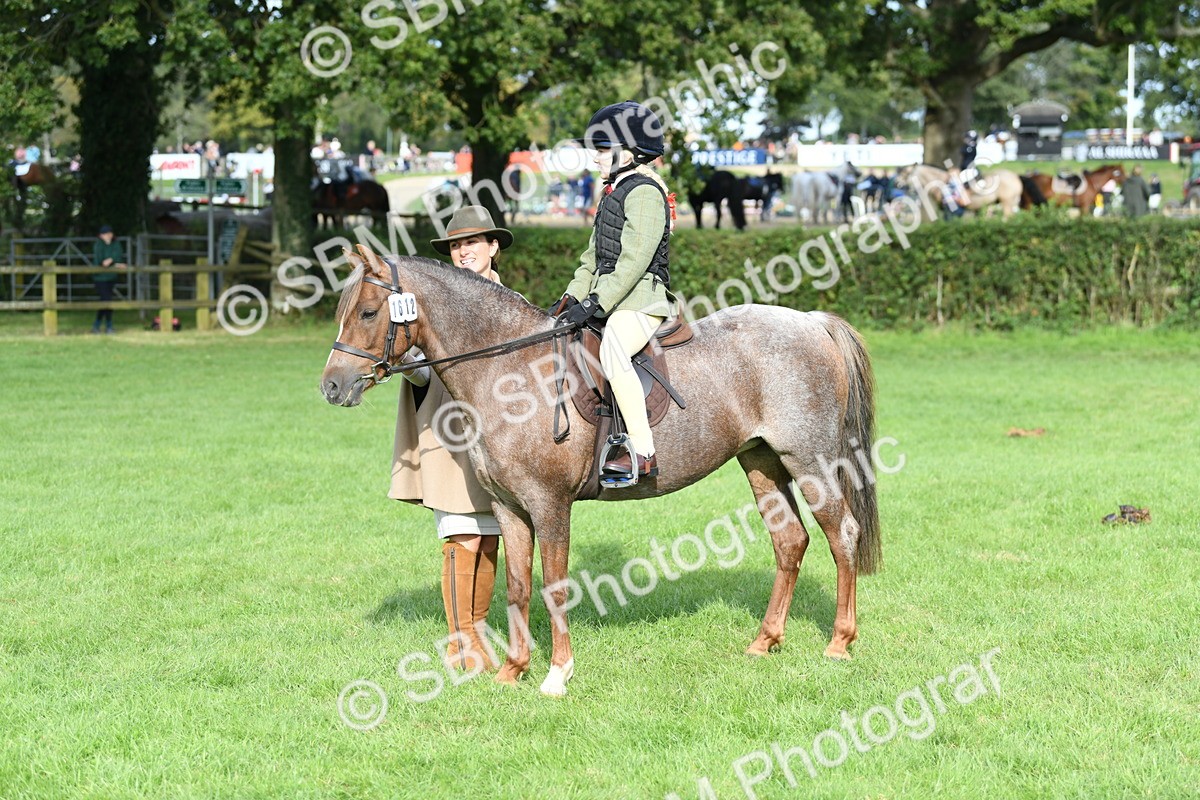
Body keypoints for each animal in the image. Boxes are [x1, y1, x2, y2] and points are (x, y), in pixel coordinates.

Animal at [321, 245, 882, 697]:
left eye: (368, 311)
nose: (331, 386)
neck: (510, 371)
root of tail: (811, 321)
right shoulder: (509, 508)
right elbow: (517, 587)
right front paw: (511, 671)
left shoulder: (549, 505)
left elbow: (554, 586)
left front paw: (556, 675)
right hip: (762, 461)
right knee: (790, 541)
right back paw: (765, 641)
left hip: (809, 461)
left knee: (843, 535)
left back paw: (839, 642)